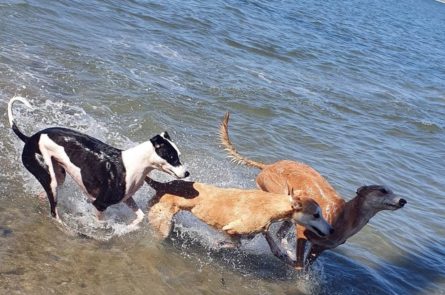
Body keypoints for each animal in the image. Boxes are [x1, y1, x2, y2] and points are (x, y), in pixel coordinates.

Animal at [7, 97, 189, 229]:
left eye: (178, 155)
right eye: (172, 157)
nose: (187, 173)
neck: (135, 164)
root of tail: (30, 138)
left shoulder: (127, 199)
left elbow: (141, 216)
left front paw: (130, 227)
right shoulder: (100, 204)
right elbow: (100, 222)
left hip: (58, 176)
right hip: (47, 175)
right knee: (53, 211)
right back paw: (63, 225)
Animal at [144, 177, 332, 268]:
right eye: (316, 215)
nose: (331, 230)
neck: (272, 205)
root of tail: (162, 184)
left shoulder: (262, 228)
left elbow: (268, 238)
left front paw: (283, 253)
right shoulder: (231, 229)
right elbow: (237, 243)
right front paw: (217, 244)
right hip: (164, 223)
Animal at [219, 113, 406, 270]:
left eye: (391, 190)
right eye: (383, 190)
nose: (403, 201)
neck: (345, 216)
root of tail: (268, 166)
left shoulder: (320, 248)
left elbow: (305, 266)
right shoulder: (303, 232)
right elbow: (299, 265)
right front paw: (287, 258)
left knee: (277, 232)